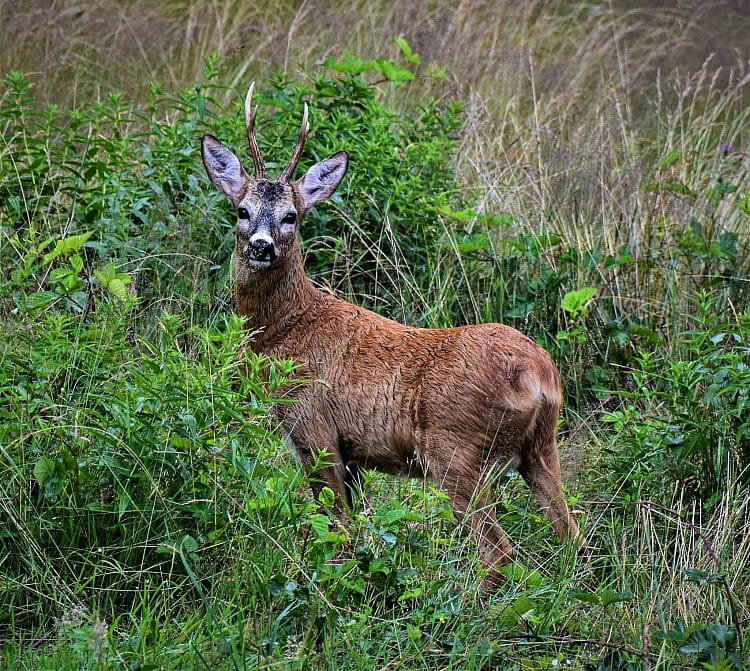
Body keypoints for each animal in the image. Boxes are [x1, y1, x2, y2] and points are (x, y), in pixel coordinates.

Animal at [203, 82, 584, 588]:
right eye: (242, 210)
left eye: (291, 216)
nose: (261, 246)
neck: (288, 329)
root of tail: (539, 376)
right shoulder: (352, 453)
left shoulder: (315, 430)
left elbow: (337, 531)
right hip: (541, 447)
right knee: (572, 535)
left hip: (454, 449)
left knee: (498, 551)